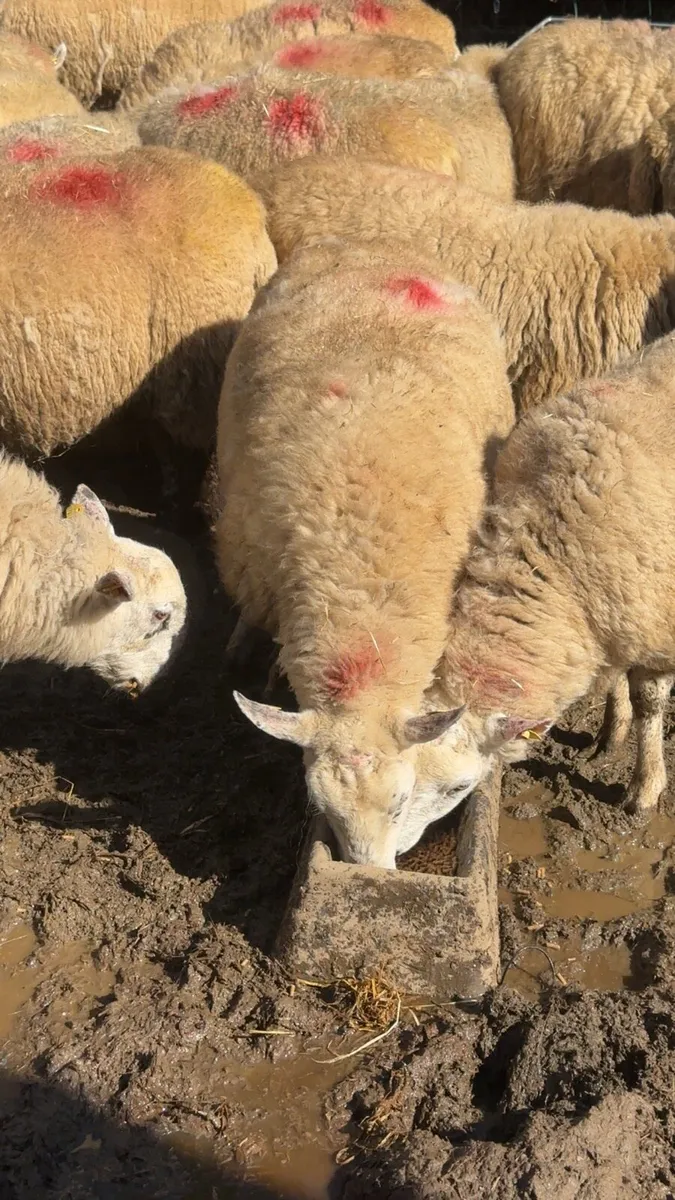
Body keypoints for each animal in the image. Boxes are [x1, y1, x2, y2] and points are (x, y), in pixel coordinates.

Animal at [416, 331, 675, 820]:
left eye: (458, 787)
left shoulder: (656, 627)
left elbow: (649, 705)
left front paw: (644, 788)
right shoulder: (612, 617)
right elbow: (617, 684)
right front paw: (610, 735)